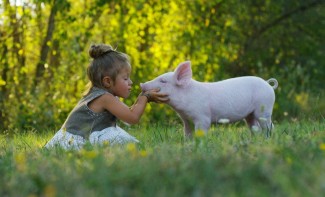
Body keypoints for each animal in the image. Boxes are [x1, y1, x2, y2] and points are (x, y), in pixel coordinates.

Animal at [140, 61, 278, 137]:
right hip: (250, 115)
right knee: (254, 127)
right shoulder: (186, 120)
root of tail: (268, 84)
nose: (142, 84)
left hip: (265, 107)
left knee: (269, 126)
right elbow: (187, 134)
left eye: (163, 81)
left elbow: (202, 131)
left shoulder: (203, 117)